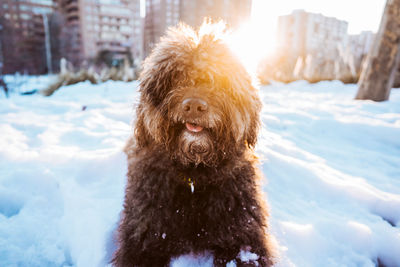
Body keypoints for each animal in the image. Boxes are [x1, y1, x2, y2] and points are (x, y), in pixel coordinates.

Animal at [112, 22, 276, 267]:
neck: (194, 174)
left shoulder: (244, 235)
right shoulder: (143, 234)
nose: (194, 105)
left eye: (217, 79)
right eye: (177, 77)